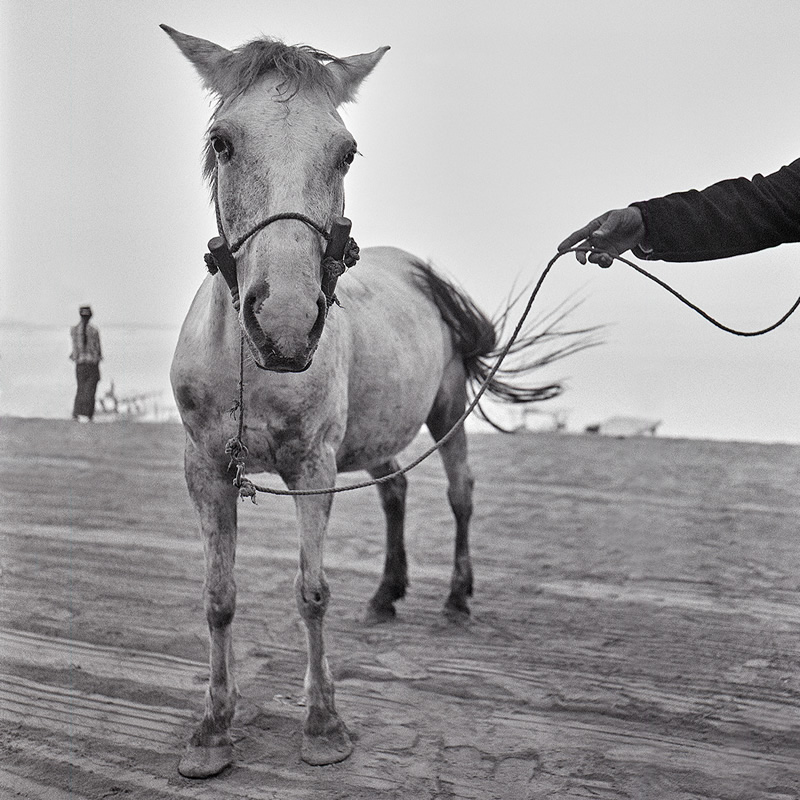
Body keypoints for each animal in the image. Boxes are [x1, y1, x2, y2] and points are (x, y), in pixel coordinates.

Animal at [162, 26, 588, 780]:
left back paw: (455, 599)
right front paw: (213, 728)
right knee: (395, 492)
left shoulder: (314, 466)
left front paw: (324, 724)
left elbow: (311, 593)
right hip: (378, 436)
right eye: (222, 141)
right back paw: (388, 594)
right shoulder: (205, 469)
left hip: (445, 410)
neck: (251, 367)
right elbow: (218, 598)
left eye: (346, 151)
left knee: (459, 492)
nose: (286, 324)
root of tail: (416, 269)